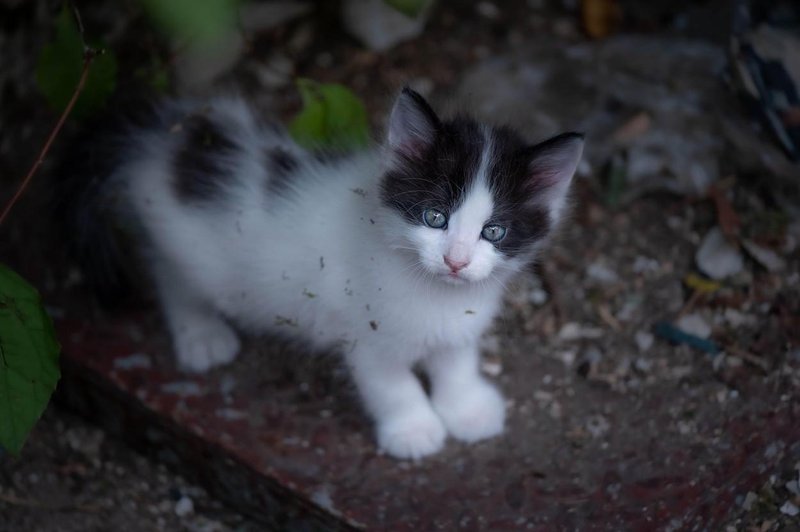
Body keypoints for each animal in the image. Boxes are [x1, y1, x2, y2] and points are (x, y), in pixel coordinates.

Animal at [62, 89, 584, 460]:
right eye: (435, 217)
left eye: (494, 231)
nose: (456, 260)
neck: (432, 291)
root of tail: (164, 140)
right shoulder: (366, 336)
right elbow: (392, 386)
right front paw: (414, 430)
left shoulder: (460, 321)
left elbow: (456, 362)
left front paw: (468, 411)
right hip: (186, 248)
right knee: (170, 275)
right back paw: (202, 335)